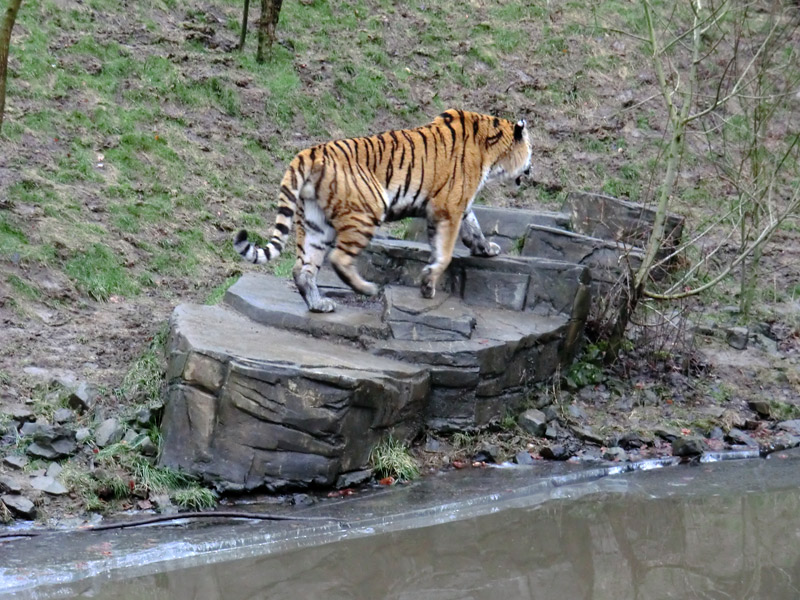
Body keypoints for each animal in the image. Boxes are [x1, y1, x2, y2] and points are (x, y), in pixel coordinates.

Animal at [231, 109, 532, 314]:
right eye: (531, 150)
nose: (532, 170)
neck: (492, 153)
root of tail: (310, 151)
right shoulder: (449, 207)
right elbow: (444, 253)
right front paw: (428, 284)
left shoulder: (460, 205)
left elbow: (474, 228)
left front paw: (487, 248)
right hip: (367, 210)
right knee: (339, 259)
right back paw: (367, 289)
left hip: (314, 223)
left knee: (302, 269)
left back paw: (319, 304)